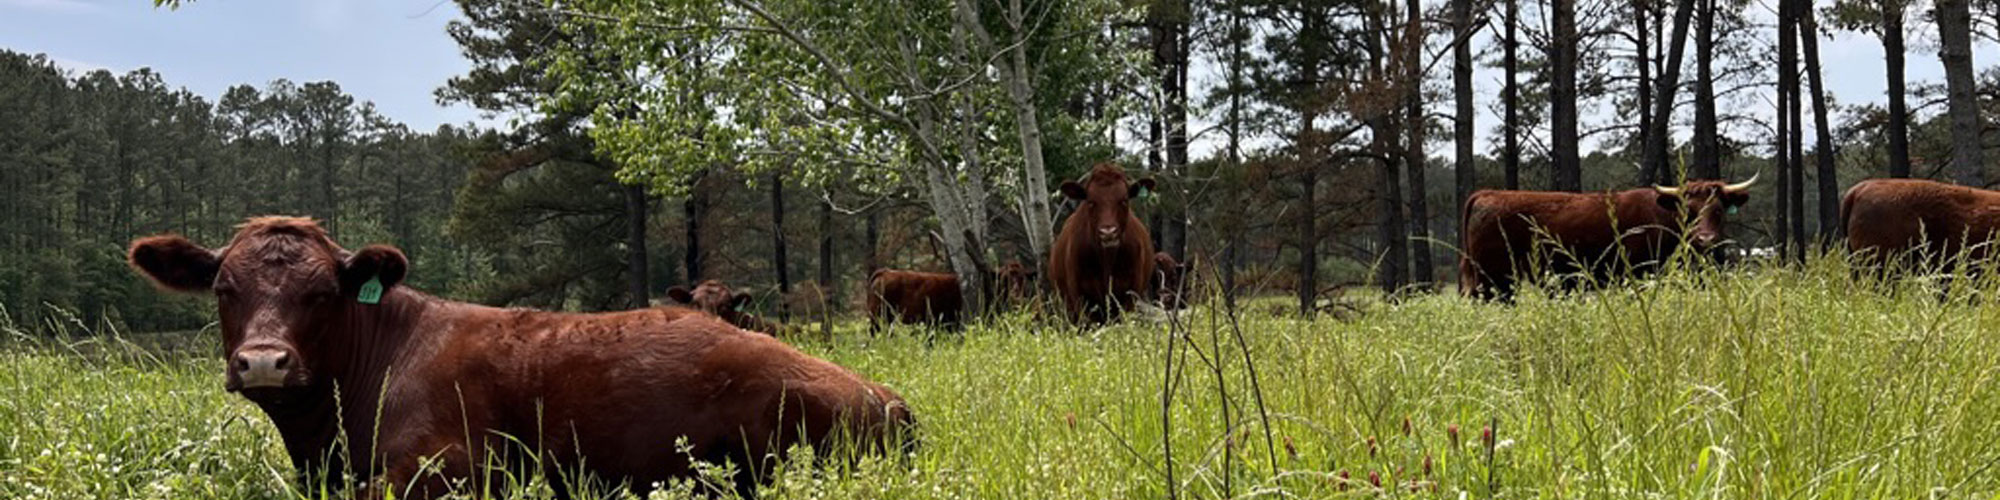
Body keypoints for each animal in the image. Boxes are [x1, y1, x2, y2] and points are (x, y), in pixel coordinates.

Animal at [1464, 178, 1760, 298]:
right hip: (1494, 280)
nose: (1705, 239)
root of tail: (1487, 193)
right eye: (1689, 211)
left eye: (1718, 210)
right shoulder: (1638, 274)